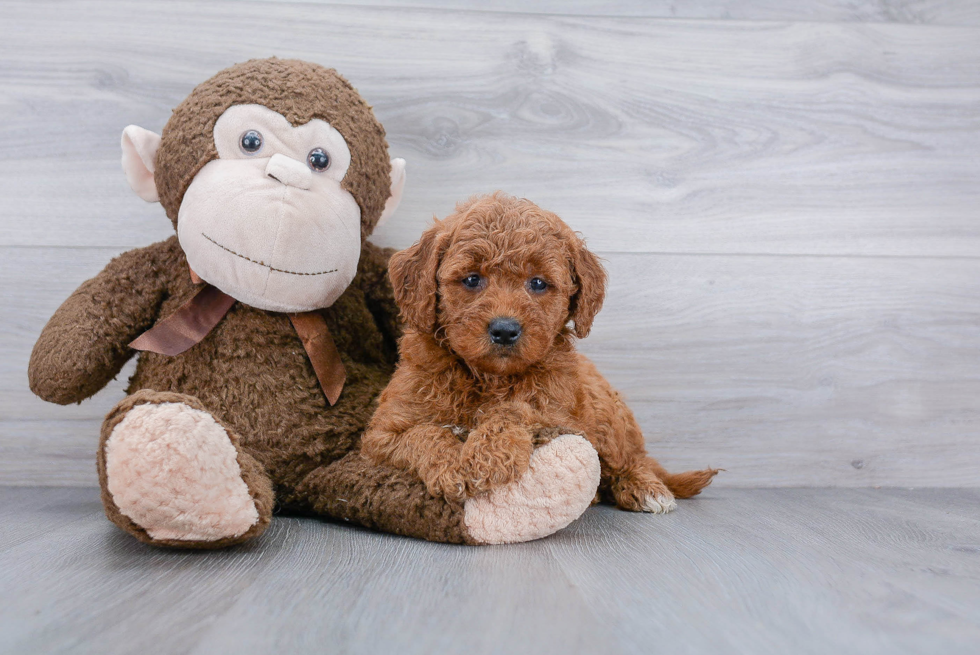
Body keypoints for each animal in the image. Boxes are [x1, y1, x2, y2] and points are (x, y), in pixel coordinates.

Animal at [364, 193, 716, 512]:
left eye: (537, 283)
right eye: (472, 279)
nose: (505, 329)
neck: (488, 378)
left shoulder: (560, 416)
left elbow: (515, 411)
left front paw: (485, 457)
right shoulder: (379, 437)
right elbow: (421, 433)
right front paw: (451, 465)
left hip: (608, 415)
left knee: (632, 459)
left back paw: (645, 488)